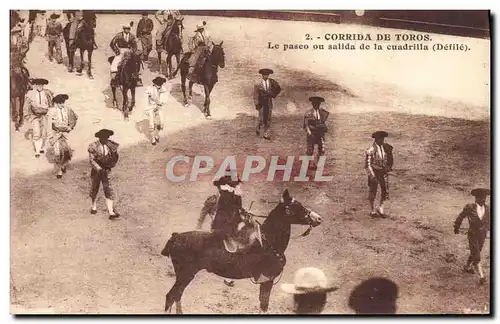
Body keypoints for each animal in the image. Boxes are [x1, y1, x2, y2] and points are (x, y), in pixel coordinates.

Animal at [161, 190, 324, 314]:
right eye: (299, 207)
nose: (319, 218)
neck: (268, 242)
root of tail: (176, 236)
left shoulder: (265, 282)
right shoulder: (268, 281)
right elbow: (264, 307)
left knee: (177, 296)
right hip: (185, 275)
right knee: (171, 296)